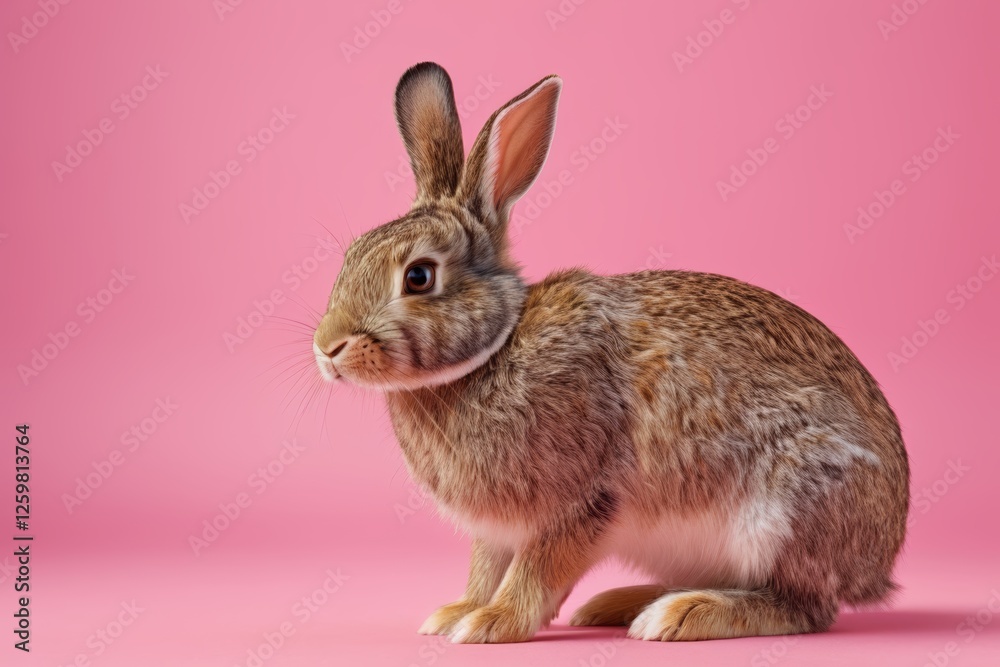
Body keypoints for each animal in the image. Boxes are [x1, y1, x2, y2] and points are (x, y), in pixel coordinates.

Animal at [312, 62, 910, 643]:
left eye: (418, 276)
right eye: (352, 254)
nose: (327, 348)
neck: (494, 350)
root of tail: (878, 560)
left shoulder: (582, 502)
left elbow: (535, 570)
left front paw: (491, 622)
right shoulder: (497, 531)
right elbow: (485, 566)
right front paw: (454, 612)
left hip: (789, 505)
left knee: (804, 607)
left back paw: (681, 615)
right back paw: (620, 603)